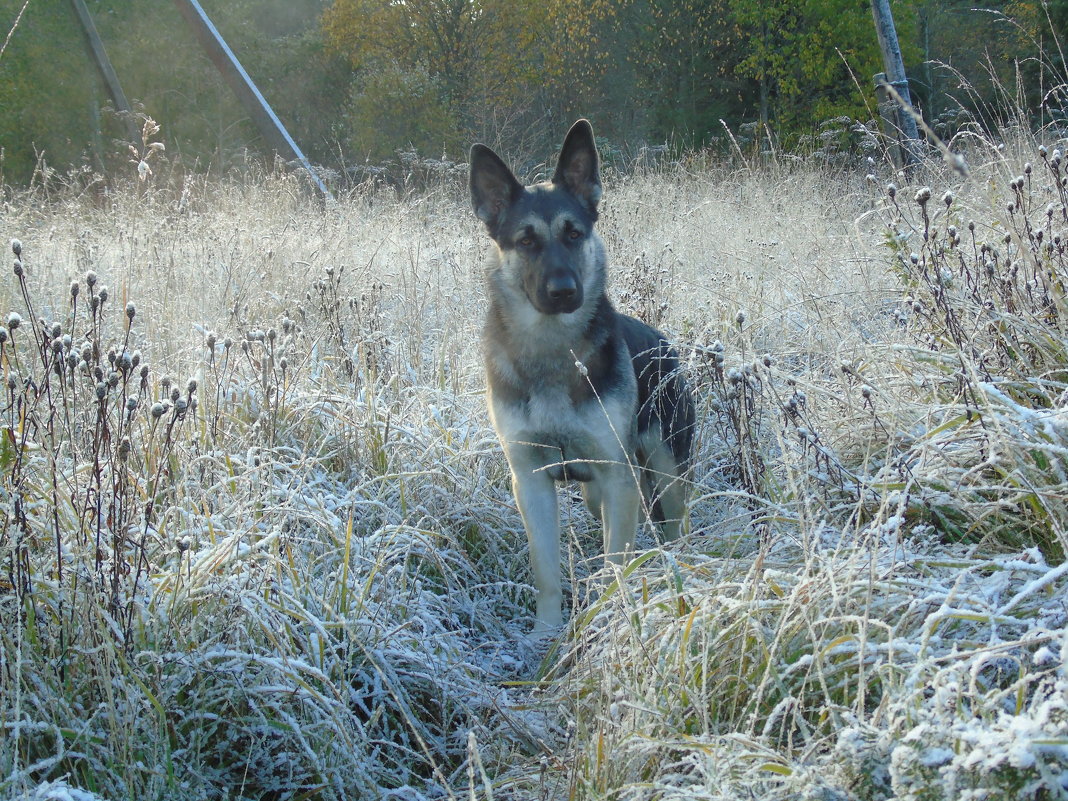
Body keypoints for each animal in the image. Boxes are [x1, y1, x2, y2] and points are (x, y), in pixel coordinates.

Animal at [467, 119, 692, 632]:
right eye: (526, 240)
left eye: (574, 234)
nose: (564, 291)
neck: (552, 349)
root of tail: (665, 343)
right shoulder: (531, 482)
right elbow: (546, 570)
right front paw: (546, 634)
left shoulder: (617, 476)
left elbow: (615, 565)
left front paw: (606, 621)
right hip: (601, 488)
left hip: (664, 469)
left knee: (674, 523)